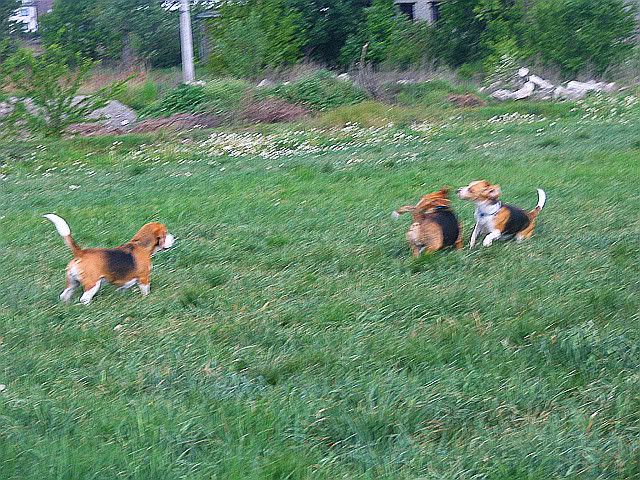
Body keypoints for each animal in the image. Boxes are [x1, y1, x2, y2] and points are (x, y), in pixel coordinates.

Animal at [44, 214, 174, 304]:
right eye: (166, 233)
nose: (174, 237)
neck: (140, 245)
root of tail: (80, 253)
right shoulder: (144, 278)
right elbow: (146, 290)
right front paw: (146, 298)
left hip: (72, 282)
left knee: (64, 295)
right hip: (93, 284)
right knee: (84, 298)